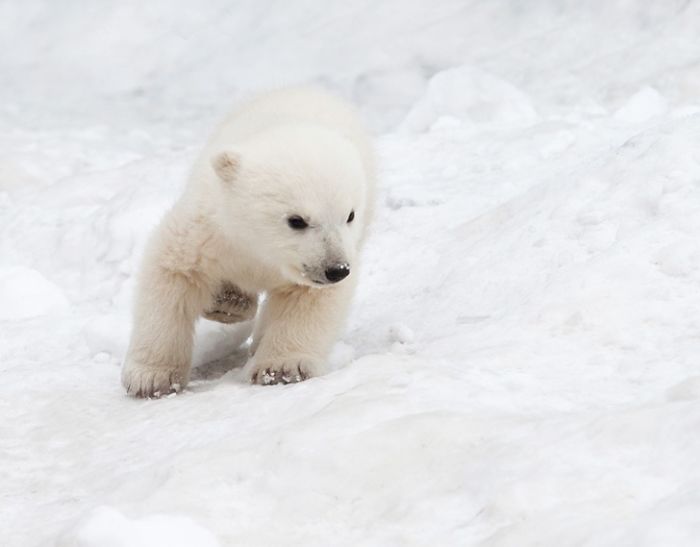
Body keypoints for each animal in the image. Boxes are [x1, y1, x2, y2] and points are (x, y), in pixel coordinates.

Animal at [121, 87, 375, 397]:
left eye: (350, 215)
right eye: (296, 220)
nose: (336, 269)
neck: (261, 249)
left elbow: (309, 300)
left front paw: (282, 369)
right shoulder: (208, 231)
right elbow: (171, 275)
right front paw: (151, 379)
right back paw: (230, 303)